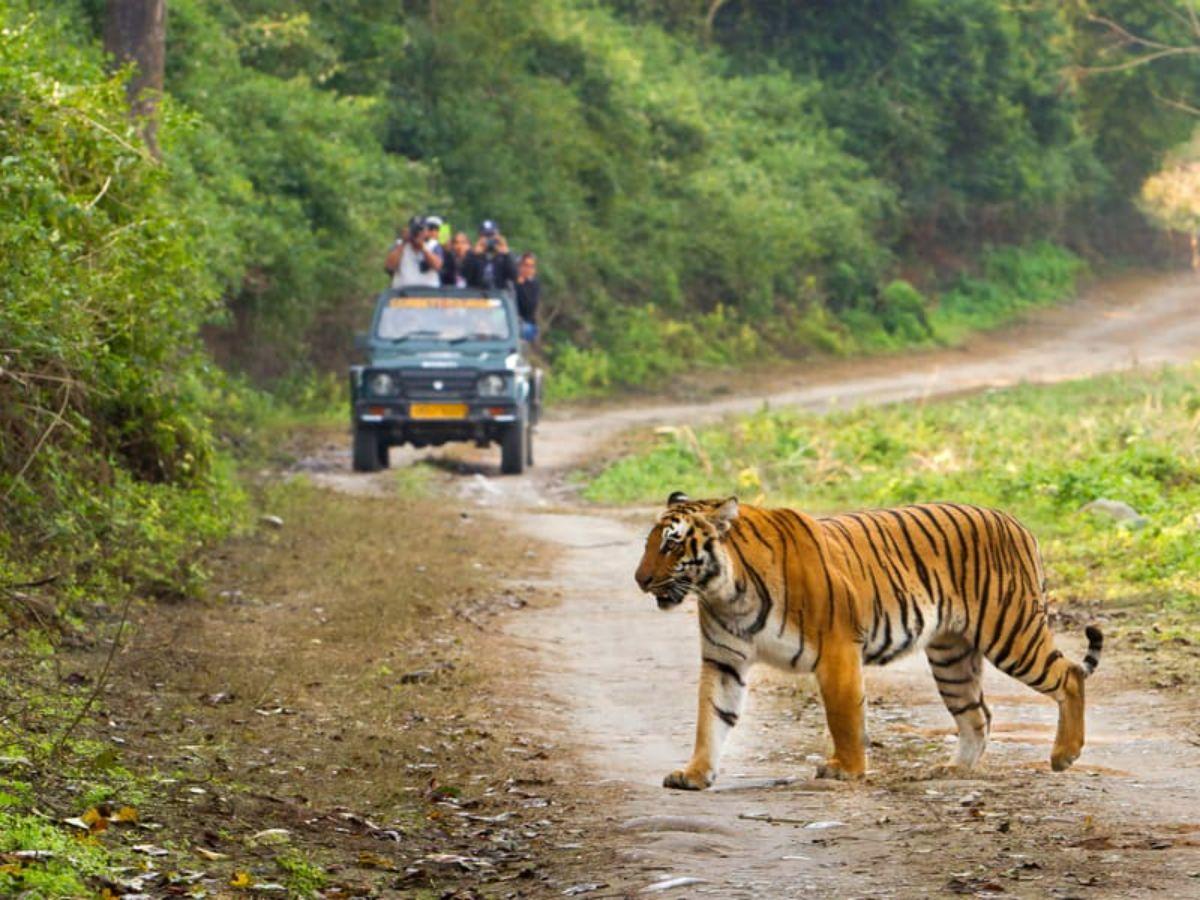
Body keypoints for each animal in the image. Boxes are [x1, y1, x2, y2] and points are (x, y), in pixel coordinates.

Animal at [633, 494, 1099, 787]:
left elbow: (844, 716)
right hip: (951, 657)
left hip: (1011, 631)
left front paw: (847, 769)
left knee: (1070, 676)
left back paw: (1064, 754)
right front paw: (694, 775)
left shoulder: (837, 649)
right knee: (977, 714)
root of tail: (1016, 521)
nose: (640, 580)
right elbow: (711, 718)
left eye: (673, 544)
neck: (725, 592)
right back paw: (954, 770)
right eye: (649, 544)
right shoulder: (724, 660)